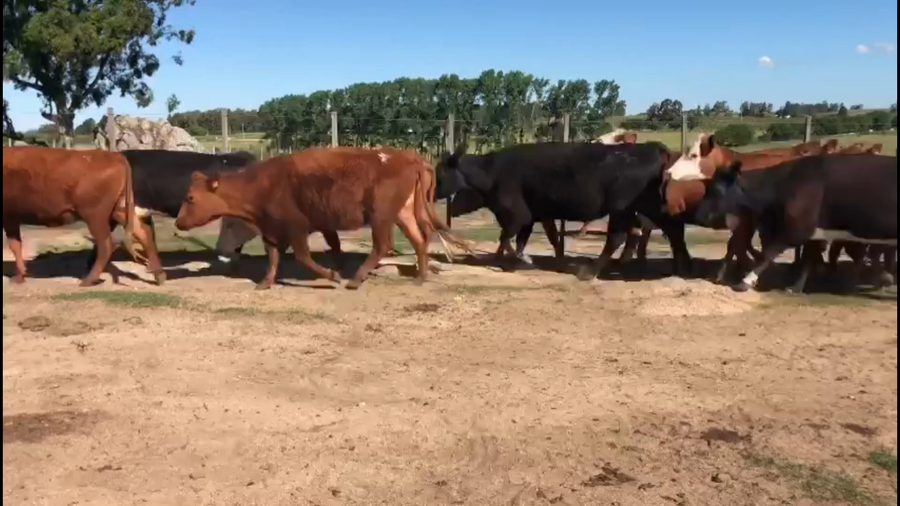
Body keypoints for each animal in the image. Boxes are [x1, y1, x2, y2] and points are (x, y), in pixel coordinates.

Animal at [3, 146, 164, 286]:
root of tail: (113, 156)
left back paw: (89, 280)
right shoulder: (11, 219)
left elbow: (14, 246)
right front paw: (20, 276)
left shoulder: (8, 218)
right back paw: (159, 275)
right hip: (119, 210)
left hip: (95, 216)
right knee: (144, 233)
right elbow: (16, 245)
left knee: (106, 244)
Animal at [174, 147, 470, 290]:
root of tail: (410, 158)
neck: (264, 184)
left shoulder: (298, 228)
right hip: (403, 213)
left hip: (381, 216)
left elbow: (304, 257)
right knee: (419, 239)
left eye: (190, 198)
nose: (178, 223)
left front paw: (333, 275)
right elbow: (275, 257)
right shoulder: (276, 230)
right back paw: (419, 277)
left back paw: (356, 279)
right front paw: (266, 282)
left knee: (382, 245)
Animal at [435, 141, 692, 281]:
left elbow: (507, 238)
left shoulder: (516, 215)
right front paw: (509, 260)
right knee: (672, 230)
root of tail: (654, 148)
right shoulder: (536, 215)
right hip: (647, 207)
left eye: (441, 173)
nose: (434, 193)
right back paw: (681, 267)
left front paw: (520, 260)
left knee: (619, 237)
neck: (491, 172)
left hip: (622, 209)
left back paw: (591, 271)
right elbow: (527, 238)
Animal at [690, 153, 897, 293]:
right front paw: (796, 287)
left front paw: (745, 281)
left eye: (716, 189)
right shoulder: (815, 231)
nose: (699, 215)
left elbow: (768, 253)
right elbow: (808, 258)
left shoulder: (796, 229)